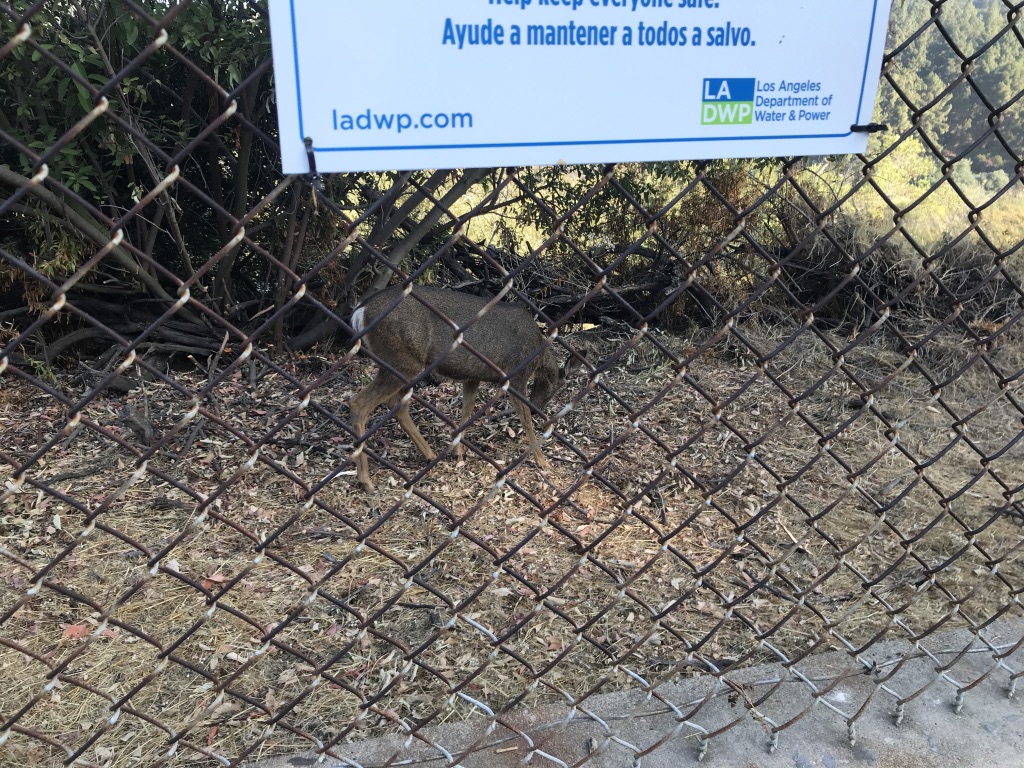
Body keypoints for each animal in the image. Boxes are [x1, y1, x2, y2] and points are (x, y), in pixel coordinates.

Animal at [348, 284, 581, 491]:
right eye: (557, 387)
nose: (537, 407)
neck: (538, 353)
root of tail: (361, 310)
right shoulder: (516, 375)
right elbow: (525, 420)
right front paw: (542, 460)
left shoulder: (472, 376)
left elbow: (467, 411)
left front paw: (457, 451)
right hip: (403, 360)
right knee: (360, 403)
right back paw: (365, 480)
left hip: (400, 364)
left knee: (396, 404)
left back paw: (429, 455)